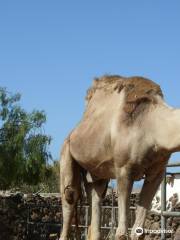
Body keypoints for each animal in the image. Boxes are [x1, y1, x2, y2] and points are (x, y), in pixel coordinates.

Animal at [59, 75, 180, 240]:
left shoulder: (157, 171)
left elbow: (138, 231)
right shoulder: (124, 169)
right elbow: (121, 233)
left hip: (95, 172)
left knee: (96, 197)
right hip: (66, 153)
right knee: (70, 197)